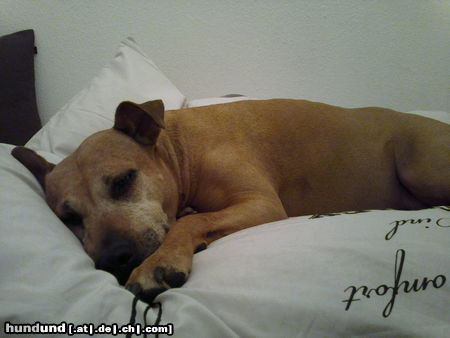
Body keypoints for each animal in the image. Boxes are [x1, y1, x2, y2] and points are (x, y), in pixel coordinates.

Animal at [11, 99, 450, 302]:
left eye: (122, 181)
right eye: (68, 217)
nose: (114, 260)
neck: (180, 151)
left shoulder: (261, 203)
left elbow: (189, 222)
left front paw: (159, 264)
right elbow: (191, 217)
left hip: (418, 164)